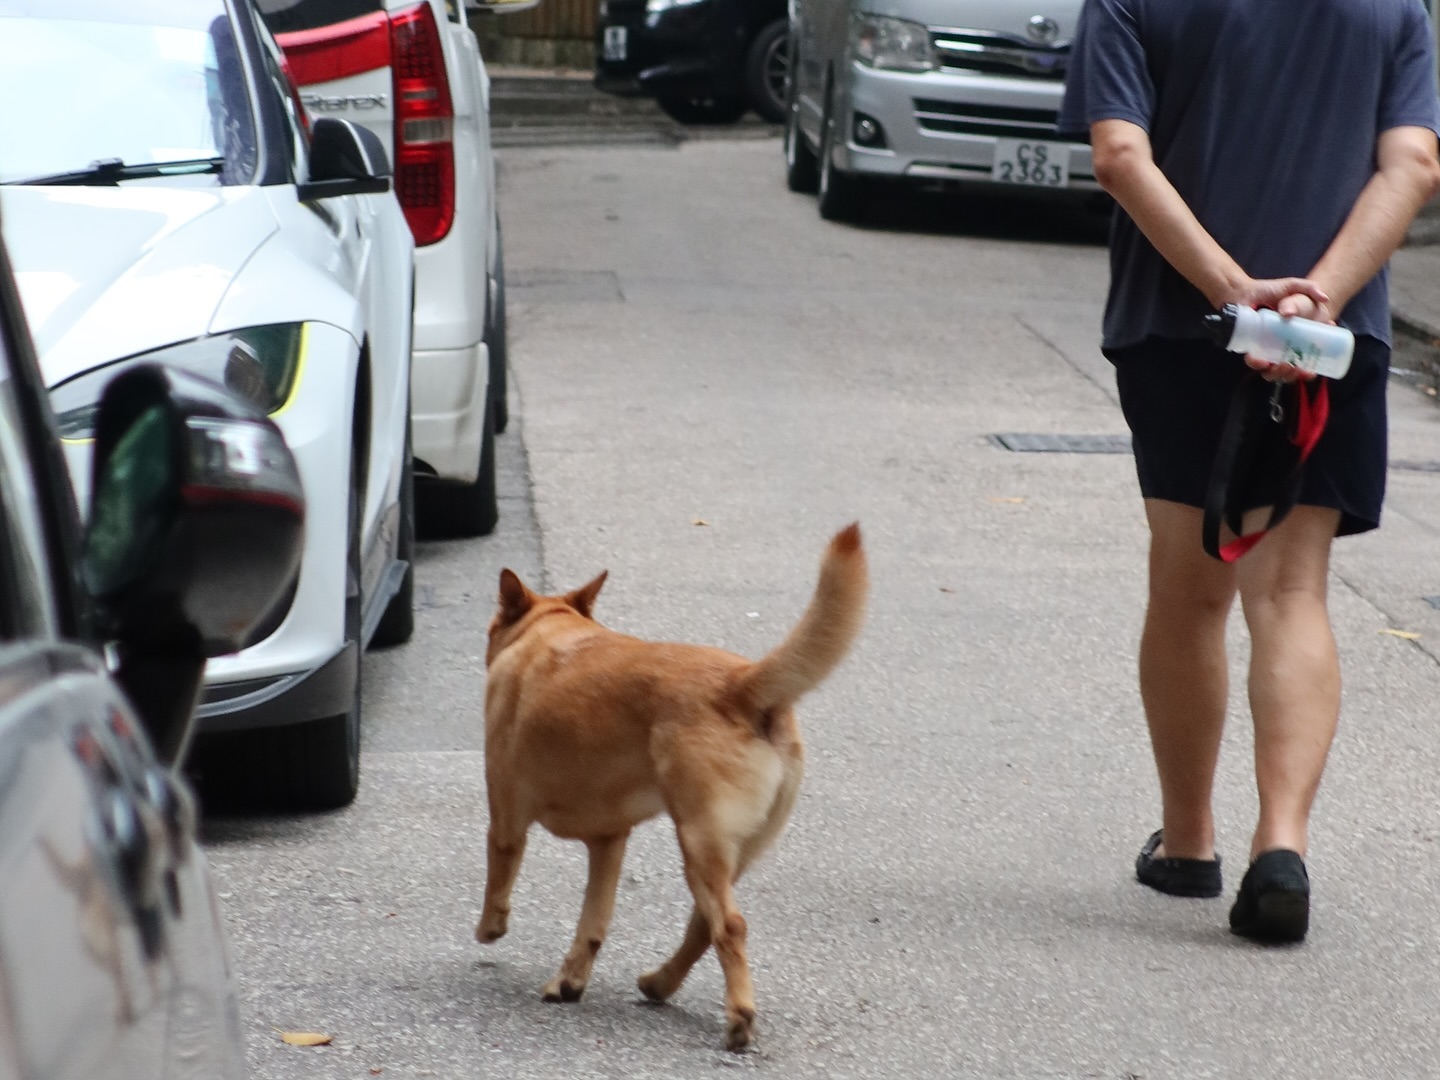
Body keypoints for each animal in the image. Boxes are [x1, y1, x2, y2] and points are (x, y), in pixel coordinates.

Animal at [478, 524, 869, 1048]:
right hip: (726, 852)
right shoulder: (609, 842)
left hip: (699, 843)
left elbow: (499, 879)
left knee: (729, 926)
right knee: (704, 927)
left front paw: (491, 928)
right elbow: (593, 923)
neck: (549, 631)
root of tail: (741, 684)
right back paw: (660, 983)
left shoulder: (506, 818)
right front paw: (570, 981)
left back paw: (738, 1018)